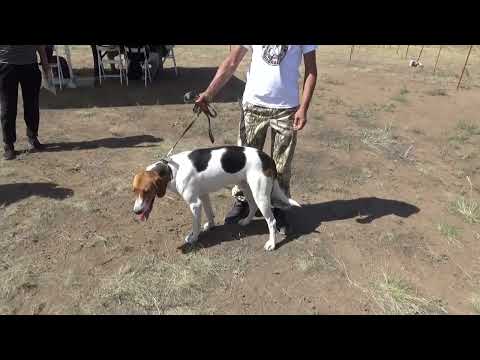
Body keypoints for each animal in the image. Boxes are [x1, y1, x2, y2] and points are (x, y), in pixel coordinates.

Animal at [131, 146, 300, 250]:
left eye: (146, 191)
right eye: (134, 191)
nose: (136, 211)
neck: (171, 169)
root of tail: (267, 158)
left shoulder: (194, 204)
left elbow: (195, 225)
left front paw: (194, 238)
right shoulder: (203, 196)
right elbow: (209, 212)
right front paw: (210, 226)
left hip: (261, 195)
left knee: (271, 221)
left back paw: (271, 243)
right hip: (246, 188)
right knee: (252, 206)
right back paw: (245, 221)